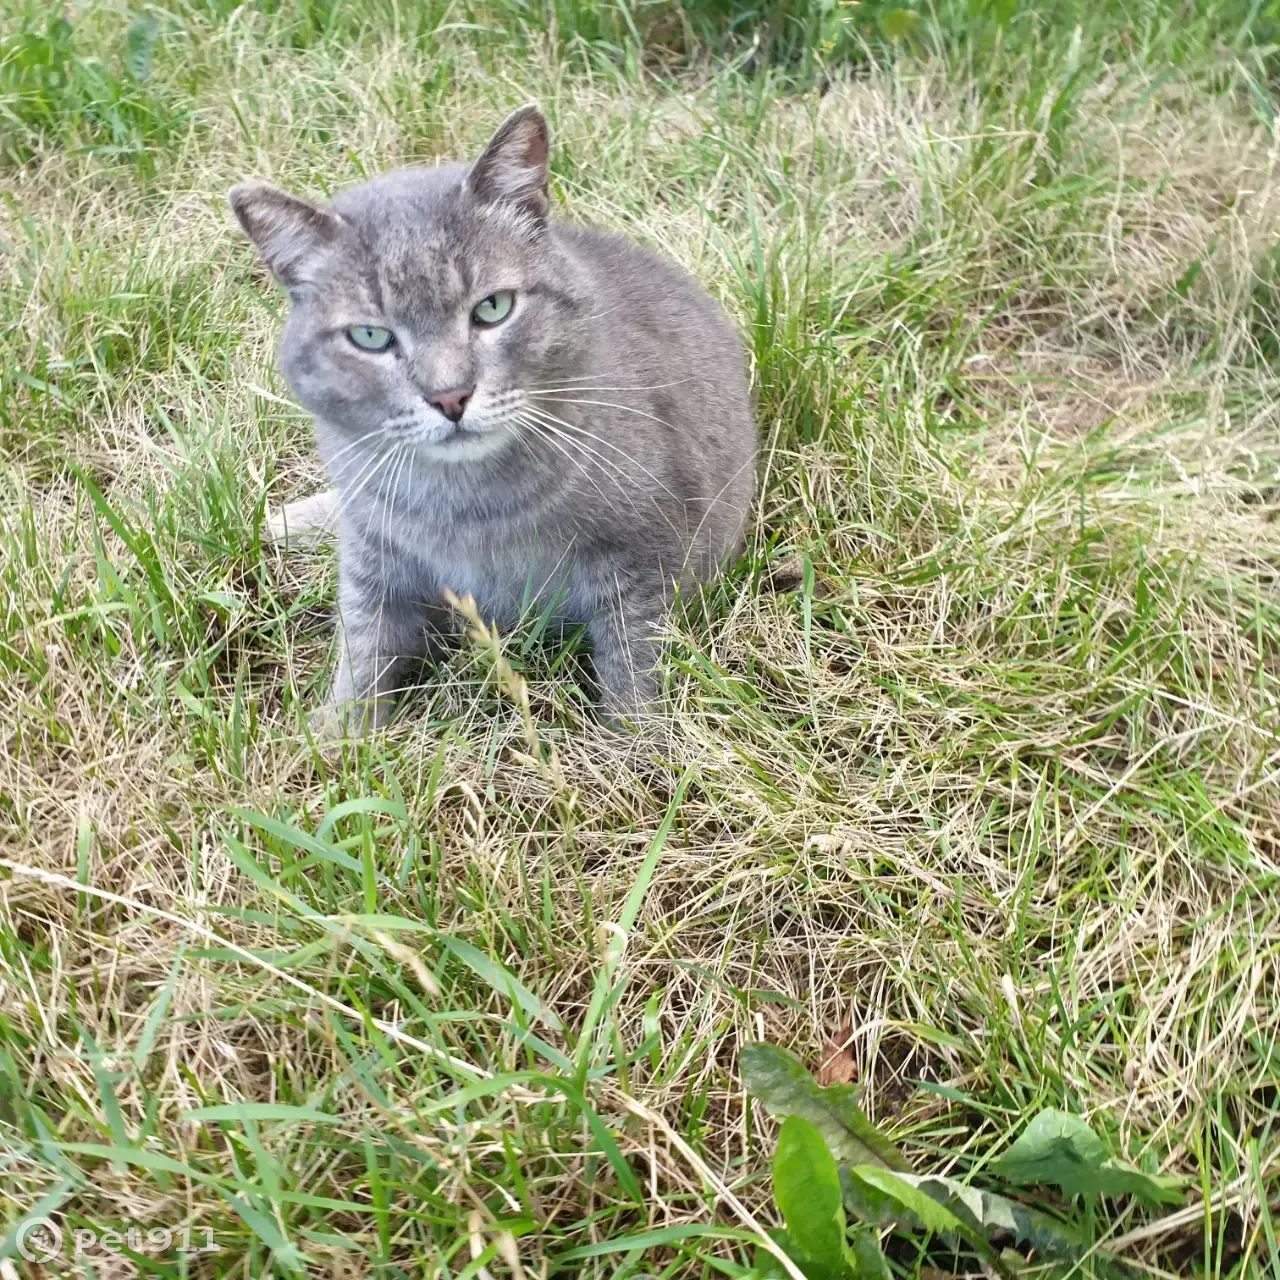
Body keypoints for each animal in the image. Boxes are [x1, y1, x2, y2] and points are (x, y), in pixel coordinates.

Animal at [232, 103, 747, 732]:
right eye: (371, 337)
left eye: (493, 308)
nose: (451, 396)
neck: (466, 506)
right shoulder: (372, 561)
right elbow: (363, 656)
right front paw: (337, 737)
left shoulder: (643, 562)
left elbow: (635, 670)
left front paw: (639, 744)